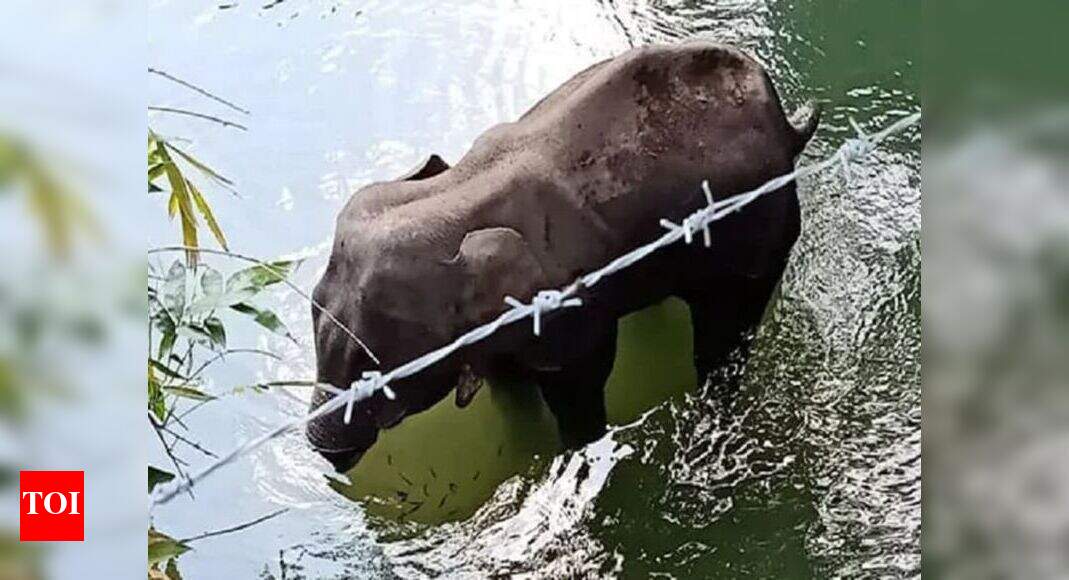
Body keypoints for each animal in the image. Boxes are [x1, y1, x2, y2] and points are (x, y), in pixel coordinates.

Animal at [307, 41, 820, 473]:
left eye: (378, 369)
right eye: (313, 307)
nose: (325, 452)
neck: (457, 193)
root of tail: (787, 125)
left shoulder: (567, 311)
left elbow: (581, 380)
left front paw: (574, 451)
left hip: (760, 230)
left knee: (724, 333)